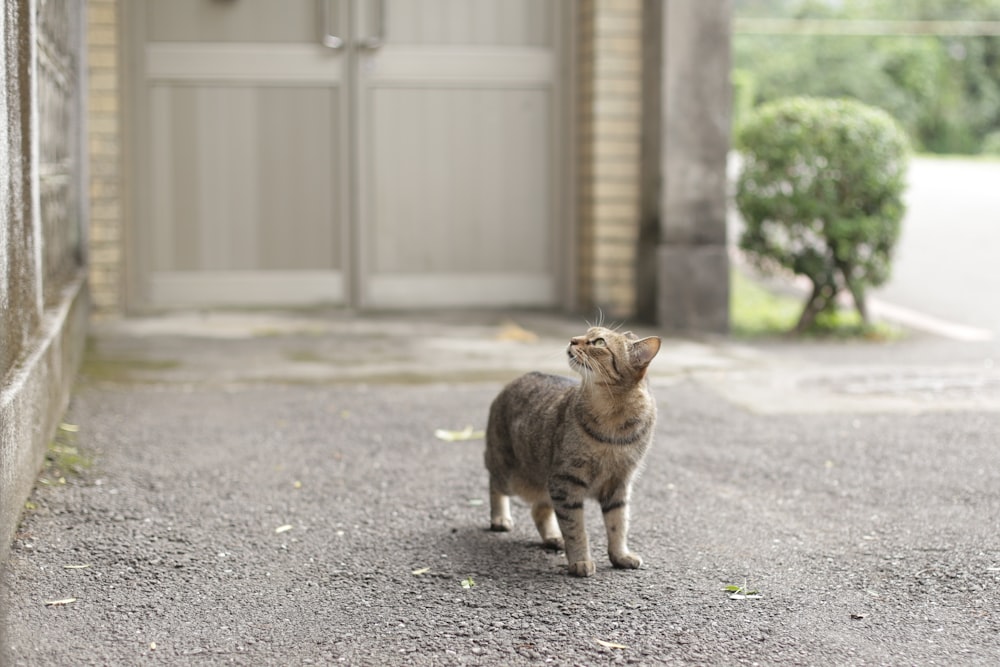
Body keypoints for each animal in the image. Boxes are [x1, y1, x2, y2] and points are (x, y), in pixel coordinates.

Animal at [482, 326, 660, 576]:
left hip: (545, 482)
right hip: (510, 473)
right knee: (494, 485)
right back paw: (500, 518)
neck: (612, 418)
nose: (573, 340)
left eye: (599, 342)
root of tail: (521, 376)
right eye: (587, 333)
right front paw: (580, 561)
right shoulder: (566, 482)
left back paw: (553, 537)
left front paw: (620, 556)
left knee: (538, 510)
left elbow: (618, 525)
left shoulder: (618, 484)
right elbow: (576, 529)